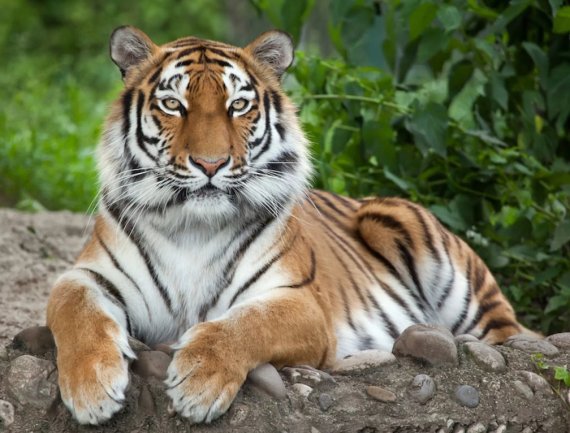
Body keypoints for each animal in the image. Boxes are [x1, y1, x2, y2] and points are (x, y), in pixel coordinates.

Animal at [46, 27, 532, 426]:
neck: (192, 228)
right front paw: (91, 388)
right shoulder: (89, 275)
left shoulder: (300, 302)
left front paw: (198, 382)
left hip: (421, 244)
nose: (210, 164)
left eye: (238, 105)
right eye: (173, 104)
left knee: (509, 335)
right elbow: (75, 309)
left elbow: (244, 324)